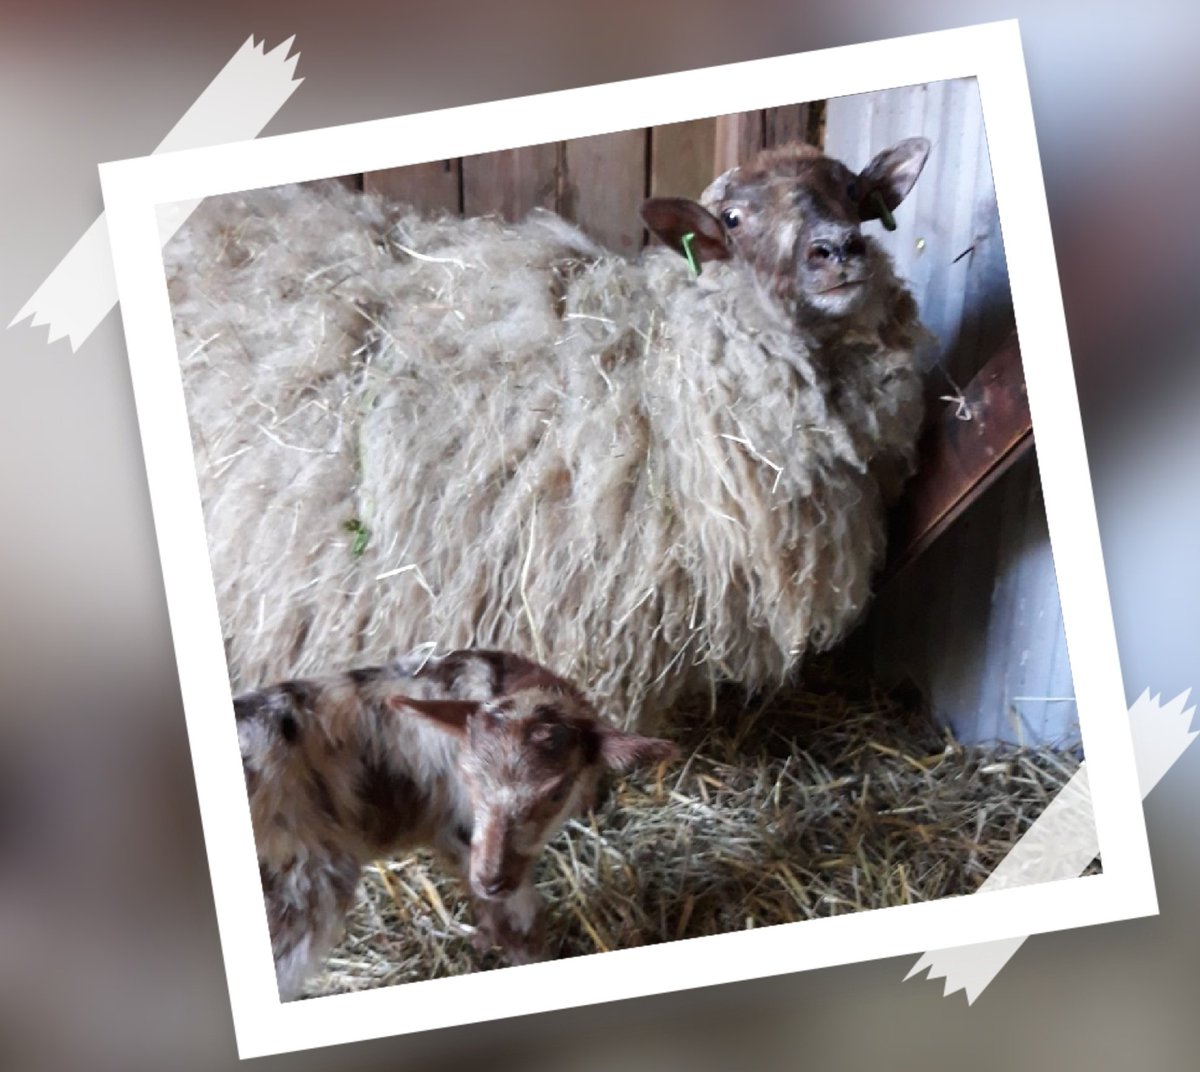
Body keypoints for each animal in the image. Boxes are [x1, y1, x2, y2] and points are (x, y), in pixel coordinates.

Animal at [238, 646, 677, 999]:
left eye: (556, 793)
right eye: (470, 778)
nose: (492, 879)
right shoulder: (465, 833)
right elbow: (524, 924)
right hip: (302, 883)